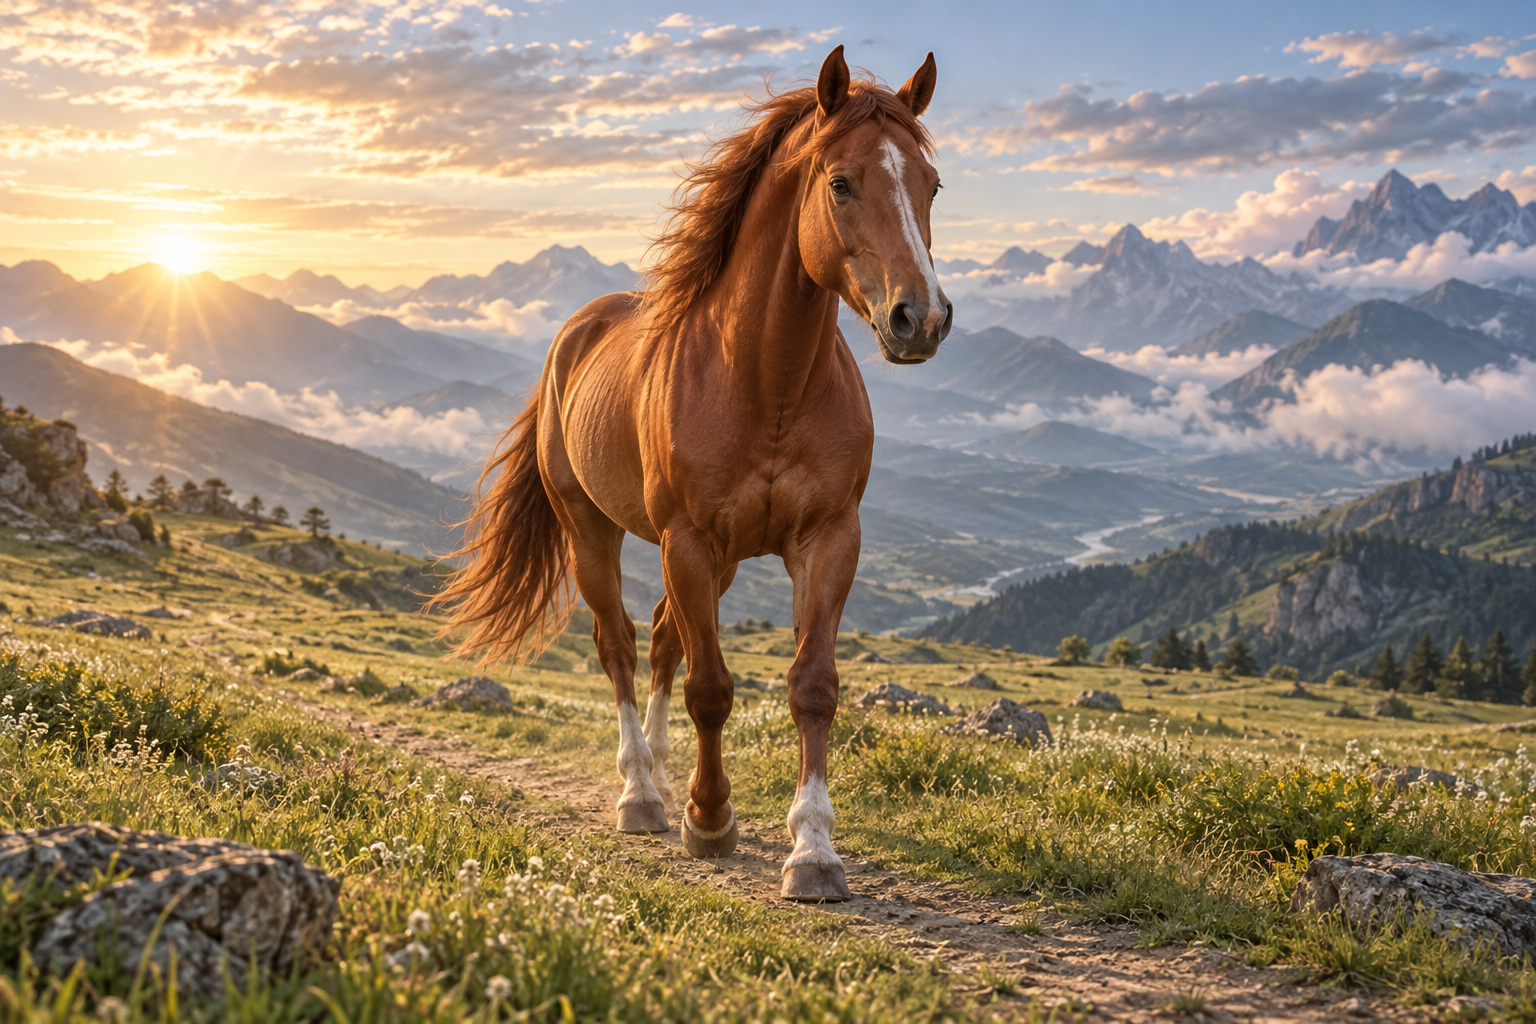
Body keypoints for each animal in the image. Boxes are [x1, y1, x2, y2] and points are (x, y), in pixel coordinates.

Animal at [432, 45, 952, 902]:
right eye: (841, 182)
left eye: (930, 185)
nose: (921, 318)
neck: (766, 383)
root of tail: (575, 334)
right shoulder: (687, 540)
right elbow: (711, 688)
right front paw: (709, 819)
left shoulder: (828, 538)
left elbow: (812, 686)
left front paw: (813, 850)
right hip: (594, 532)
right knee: (617, 643)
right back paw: (642, 792)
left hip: (725, 559)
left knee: (661, 639)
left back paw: (662, 772)